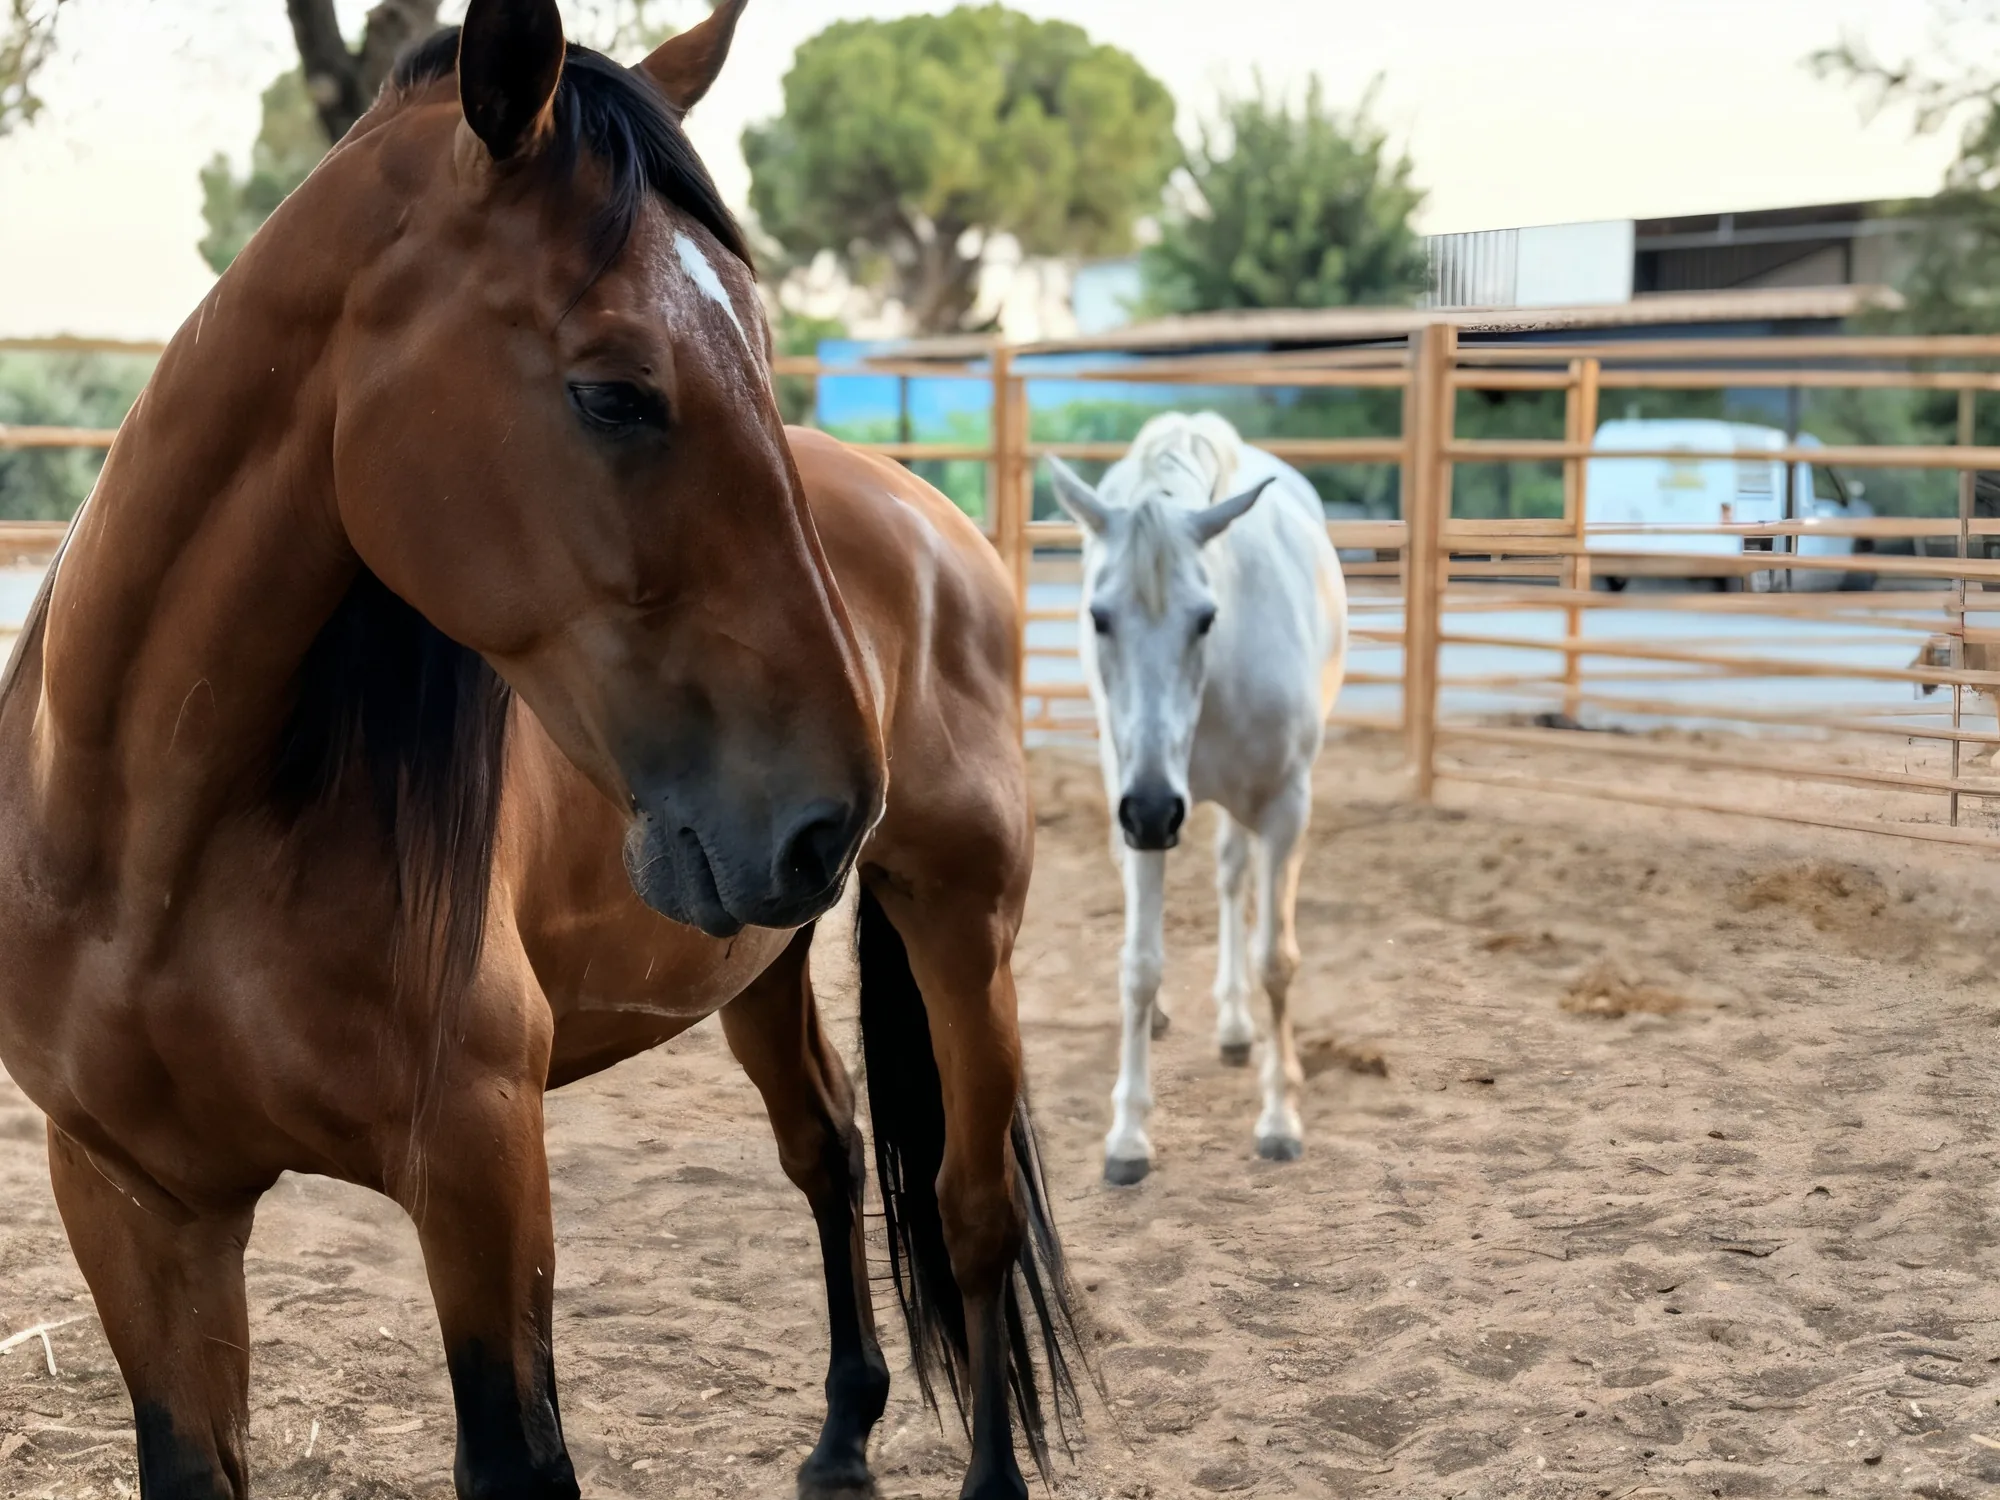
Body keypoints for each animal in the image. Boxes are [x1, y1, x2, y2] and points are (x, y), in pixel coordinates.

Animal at [0, 4, 1077, 1497]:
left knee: (970, 1211)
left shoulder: (479, 1169)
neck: (147, 847)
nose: (828, 813)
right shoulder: (134, 1203)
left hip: (958, 921)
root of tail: (932, 518)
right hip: (759, 960)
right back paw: (841, 1433)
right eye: (613, 392)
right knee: (829, 1146)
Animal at [1048, 412, 1348, 1185]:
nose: (1156, 810)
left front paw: (1279, 1120)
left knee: (1233, 879)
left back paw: (1239, 1029)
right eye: (1099, 617)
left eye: (1205, 618)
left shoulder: (1284, 810)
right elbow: (1140, 963)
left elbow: (1276, 959)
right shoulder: (1135, 803)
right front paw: (1127, 1136)